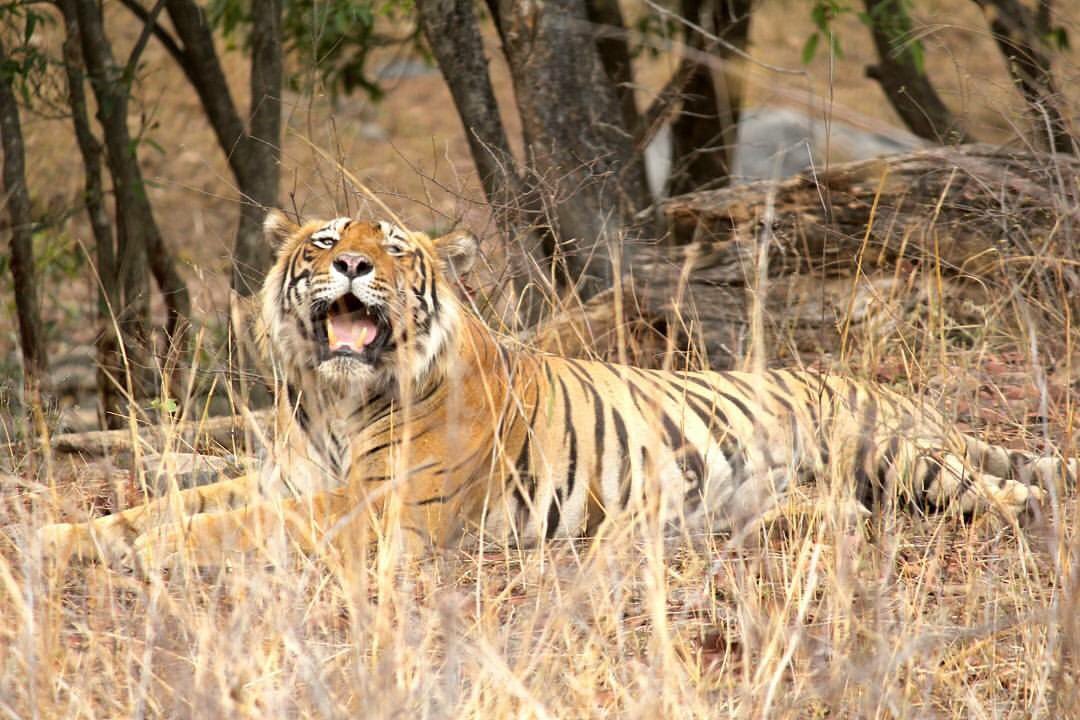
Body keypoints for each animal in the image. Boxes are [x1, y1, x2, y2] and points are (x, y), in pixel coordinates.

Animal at [37, 210, 1076, 568]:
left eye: (394, 249)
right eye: (326, 241)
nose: (356, 267)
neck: (332, 397)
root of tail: (915, 402)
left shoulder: (377, 508)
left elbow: (226, 525)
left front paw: (154, 553)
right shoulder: (292, 478)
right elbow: (169, 504)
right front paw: (64, 539)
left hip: (894, 451)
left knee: (1003, 494)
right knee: (846, 514)